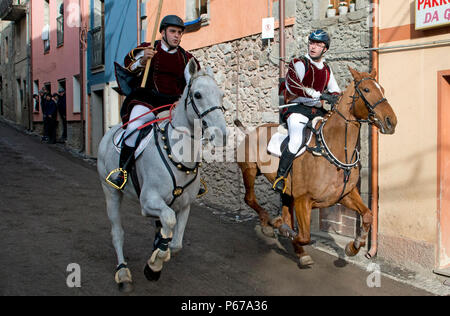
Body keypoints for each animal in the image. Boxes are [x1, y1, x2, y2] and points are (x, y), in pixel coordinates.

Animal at [96, 60, 227, 292]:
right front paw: (154, 265)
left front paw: (157, 258)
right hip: (111, 192)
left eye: (221, 95)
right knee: (117, 233)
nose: (222, 135)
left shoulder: (184, 205)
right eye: (198, 95)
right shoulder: (148, 201)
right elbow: (168, 220)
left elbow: (175, 244)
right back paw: (123, 273)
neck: (178, 154)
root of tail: (111, 131)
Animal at [236, 67, 398, 266]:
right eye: (366, 90)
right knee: (250, 199)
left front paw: (353, 247)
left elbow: (368, 215)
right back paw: (268, 225)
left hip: (285, 190)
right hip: (249, 171)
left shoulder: (344, 194)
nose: (391, 121)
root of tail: (251, 131)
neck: (333, 148)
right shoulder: (303, 200)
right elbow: (303, 236)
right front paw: (282, 229)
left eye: (381, 88)